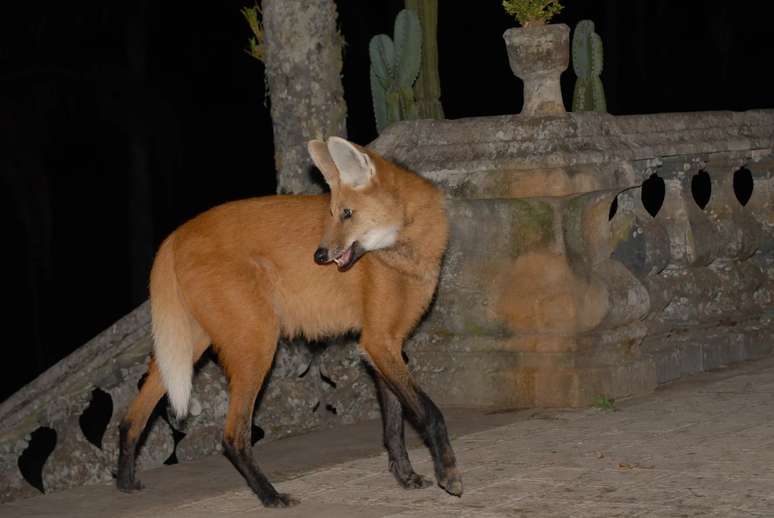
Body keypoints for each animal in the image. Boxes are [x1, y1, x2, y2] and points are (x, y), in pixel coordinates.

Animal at [115, 137, 460, 508]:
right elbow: (429, 413)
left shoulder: (385, 343)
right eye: (333, 214)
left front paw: (406, 477)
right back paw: (270, 496)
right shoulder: (378, 342)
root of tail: (175, 234)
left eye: (346, 214)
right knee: (232, 435)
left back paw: (125, 482)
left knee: (131, 419)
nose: (319, 256)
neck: (403, 254)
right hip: (258, 345)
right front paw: (449, 475)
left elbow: (395, 425)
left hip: (190, 347)